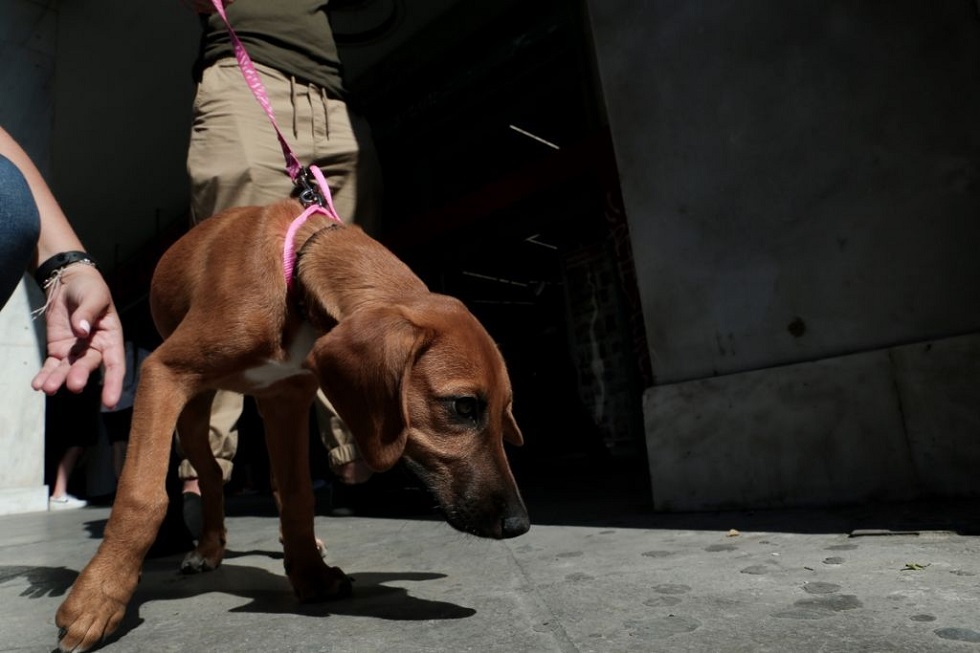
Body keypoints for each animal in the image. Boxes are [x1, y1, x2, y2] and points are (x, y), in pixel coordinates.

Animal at [53, 201, 528, 648]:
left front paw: (311, 574)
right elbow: (142, 496)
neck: (295, 277)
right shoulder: (163, 374)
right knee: (209, 474)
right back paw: (206, 549)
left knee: (275, 485)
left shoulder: (288, 398)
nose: (520, 525)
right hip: (192, 413)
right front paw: (98, 598)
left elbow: (299, 496)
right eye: (463, 407)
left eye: (504, 411)